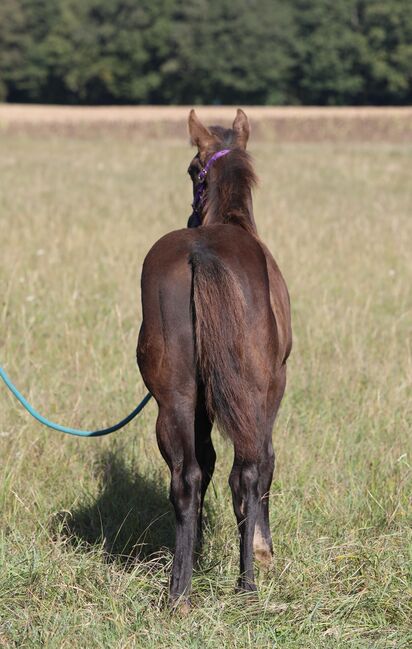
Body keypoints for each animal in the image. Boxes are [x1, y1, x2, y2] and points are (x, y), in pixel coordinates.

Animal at [137, 109, 292, 604]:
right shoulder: (273, 390)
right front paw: (263, 550)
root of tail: (201, 252)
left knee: (186, 477)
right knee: (247, 472)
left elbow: (203, 467)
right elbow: (263, 467)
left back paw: (180, 591)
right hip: (253, 393)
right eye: (194, 169)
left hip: (175, 398)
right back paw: (247, 584)